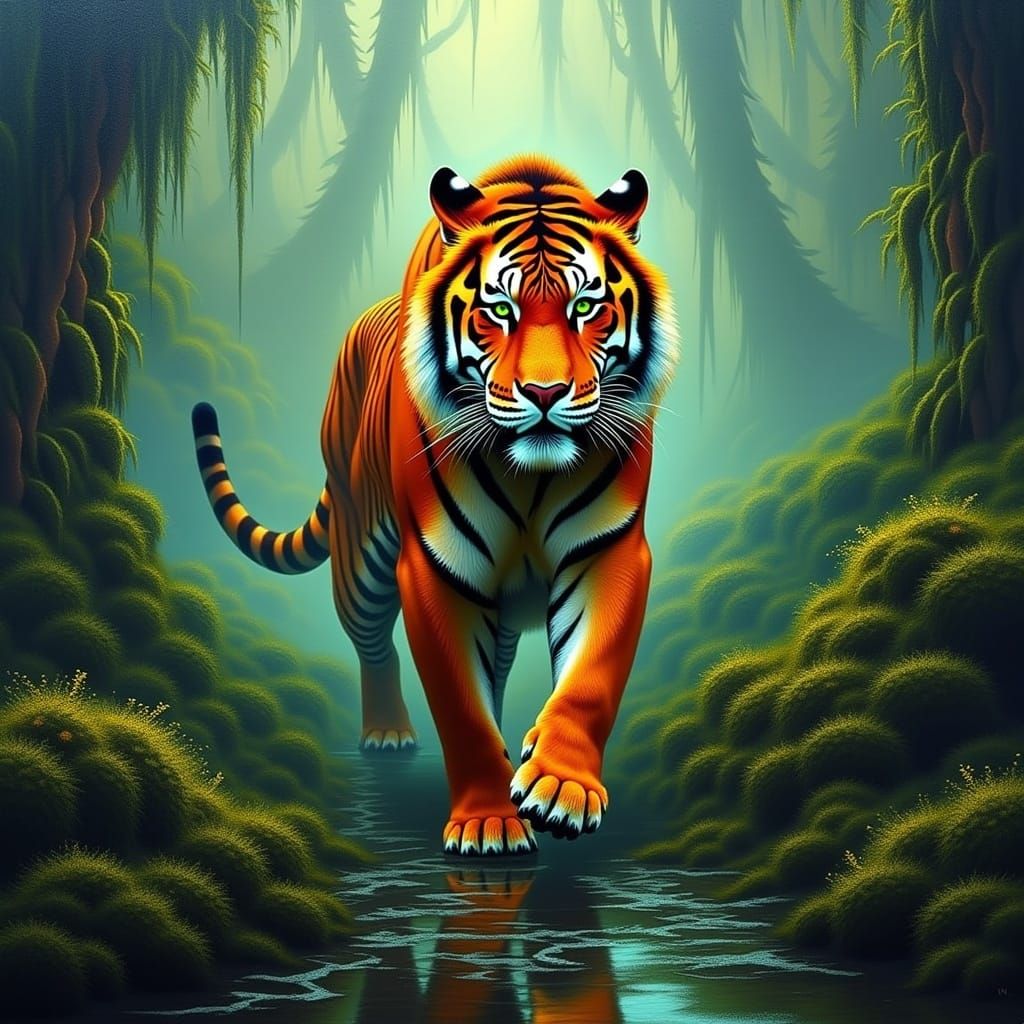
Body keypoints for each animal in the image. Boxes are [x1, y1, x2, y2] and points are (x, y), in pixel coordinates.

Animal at [192, 155, 678, 856]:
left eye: (586, 306)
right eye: (498, 309)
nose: (545, 392)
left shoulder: (607, 550)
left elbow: (590, 676)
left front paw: (559, 786)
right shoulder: (437, 566)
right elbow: (459, 704)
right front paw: (488, 824)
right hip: (359, 559)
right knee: (375, 646)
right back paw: (387, 732)